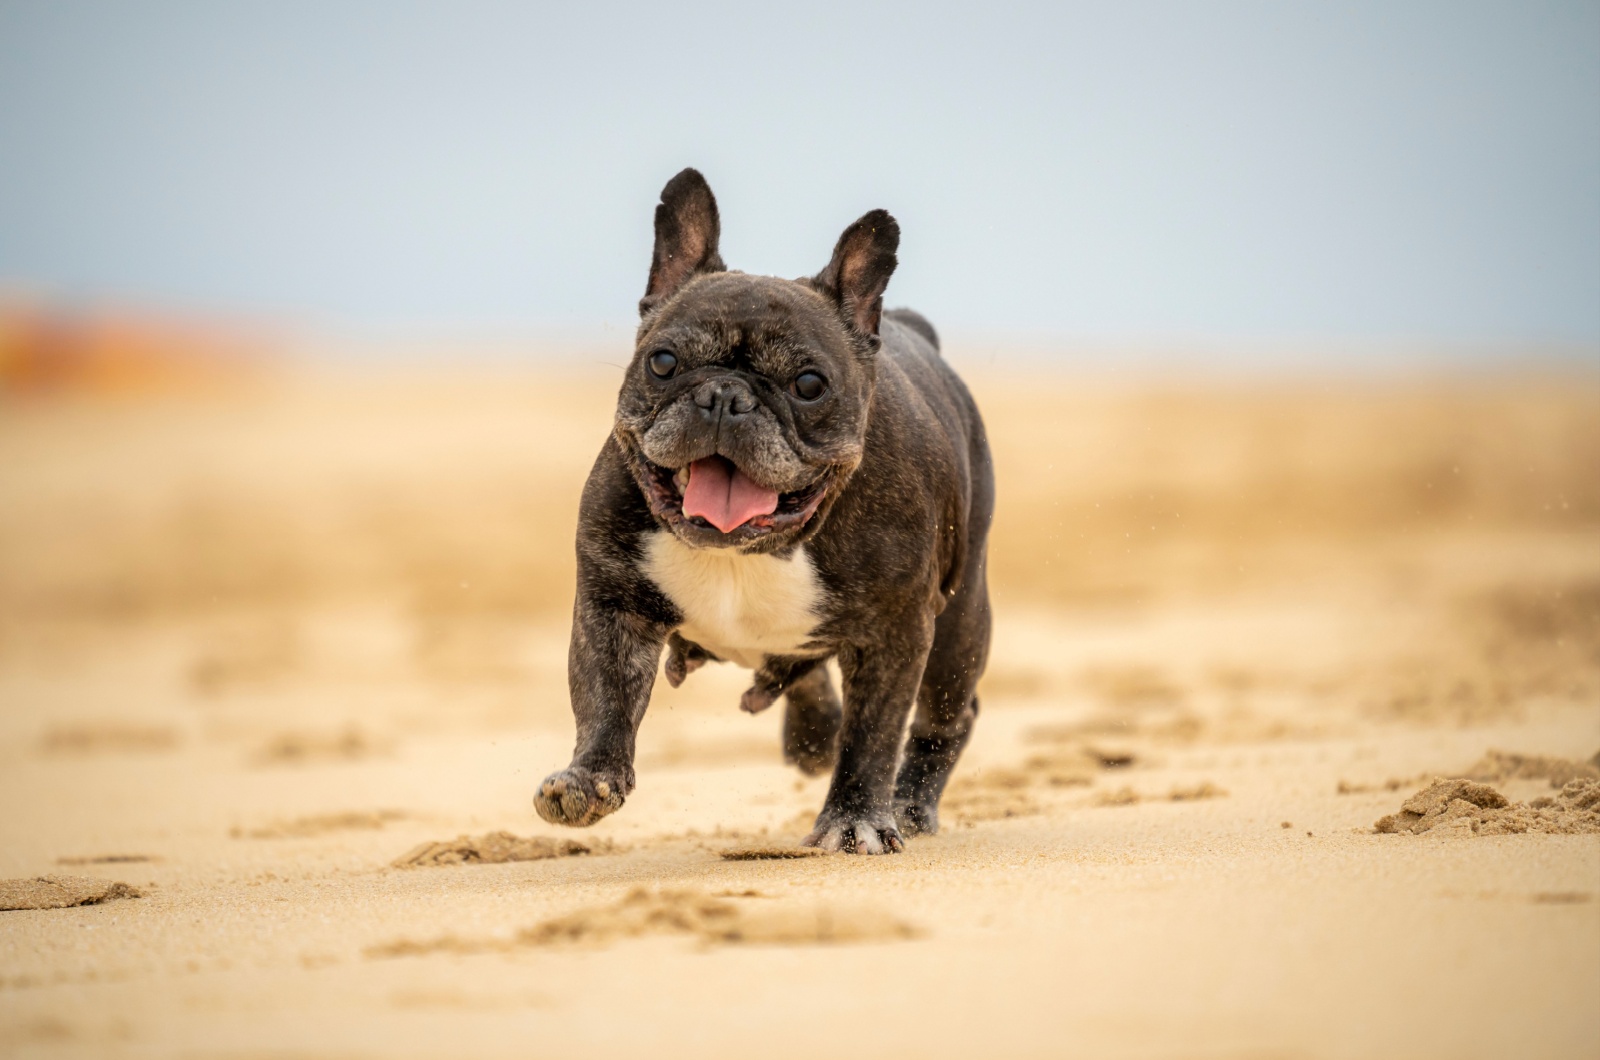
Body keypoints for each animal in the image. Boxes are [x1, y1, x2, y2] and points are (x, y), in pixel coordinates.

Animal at [537, 168, 985, 858]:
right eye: (662, 362)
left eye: (809, 385)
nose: (726, 395)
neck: (747, 548)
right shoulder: (613, 604)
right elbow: (604, 694)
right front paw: (589, 779)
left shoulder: (895, 634)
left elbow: (873, 735)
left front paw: (855, 818)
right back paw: (814, 734)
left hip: (959, 623)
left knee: (946, 716)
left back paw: (909, 806)